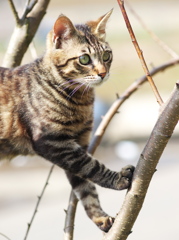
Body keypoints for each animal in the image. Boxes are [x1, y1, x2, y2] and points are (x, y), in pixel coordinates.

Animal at [0, 10, 134, 232]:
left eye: (107, 55)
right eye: (84, 59)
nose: (103, 73)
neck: (80, 99)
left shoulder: (77, 144)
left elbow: (85, 187)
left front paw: (100, 217)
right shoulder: (54, 142)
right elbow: (92, 166)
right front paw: (117, 179)